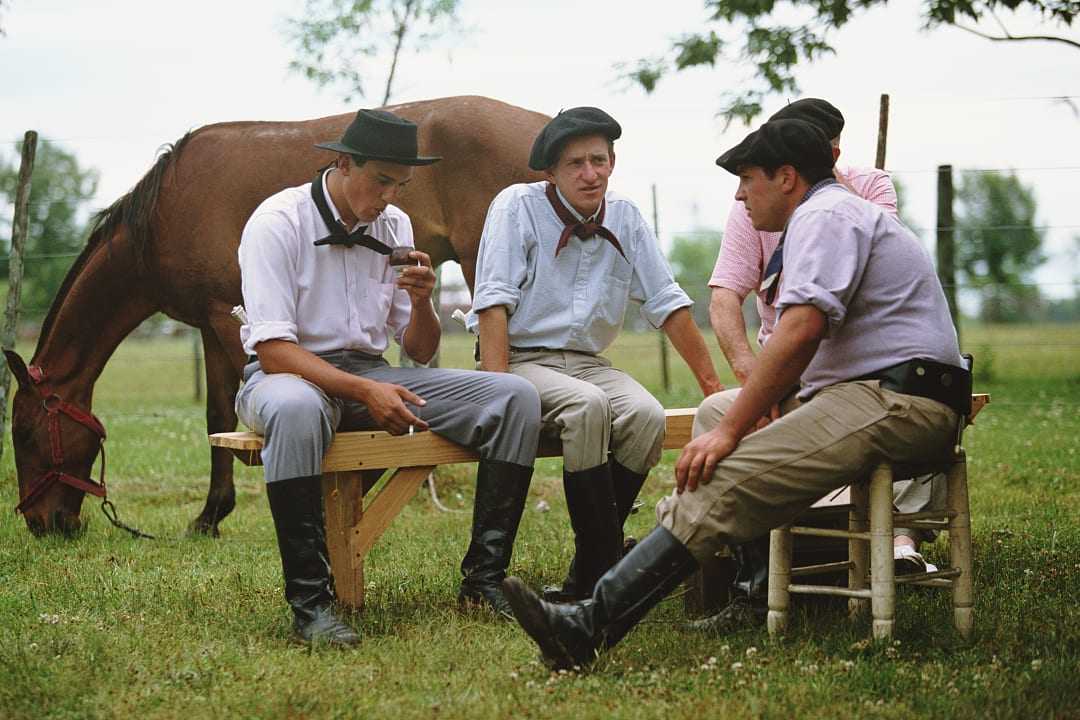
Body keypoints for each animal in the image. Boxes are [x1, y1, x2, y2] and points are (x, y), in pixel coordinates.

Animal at [4, 94, 548, 535]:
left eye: (24, 433)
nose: (43, 523)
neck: (164, 213)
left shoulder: (229, 320)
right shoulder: (212, 322)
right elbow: (218, 412)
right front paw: (212, 516)